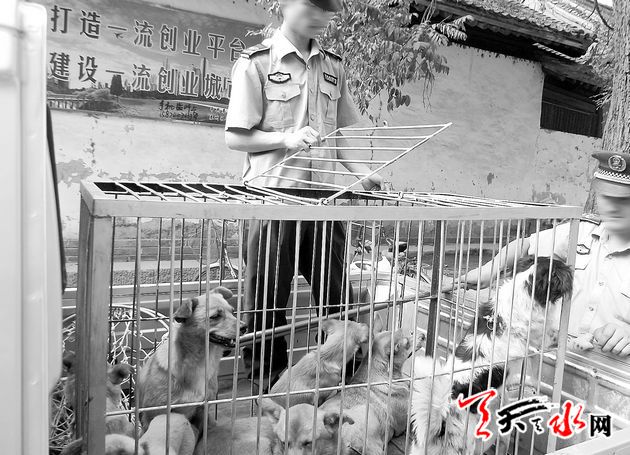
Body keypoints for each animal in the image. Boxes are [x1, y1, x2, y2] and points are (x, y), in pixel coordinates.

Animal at [137, 287, 246, 429]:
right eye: (215, 316)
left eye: (233, 312)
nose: (245, 327)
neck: (201, 360)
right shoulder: (153, 415)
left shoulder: (203, 410)